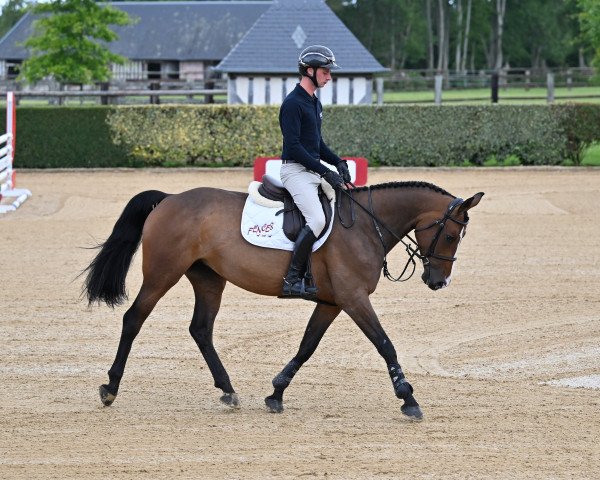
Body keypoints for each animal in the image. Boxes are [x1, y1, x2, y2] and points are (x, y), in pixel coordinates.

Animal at [82, 180, 482, 420]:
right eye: (450, 235)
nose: (438, 282)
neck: (366, 225)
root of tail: (168, 199)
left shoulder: (332, 302)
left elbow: (307, 346)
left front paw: (276, 393)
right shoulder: (354, 299)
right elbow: (385, 344)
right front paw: (408, 398)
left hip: (208, 279)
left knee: (201, 330)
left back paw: (228, 390)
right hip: (163, 273)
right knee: (134, 319)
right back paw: (110, 388)